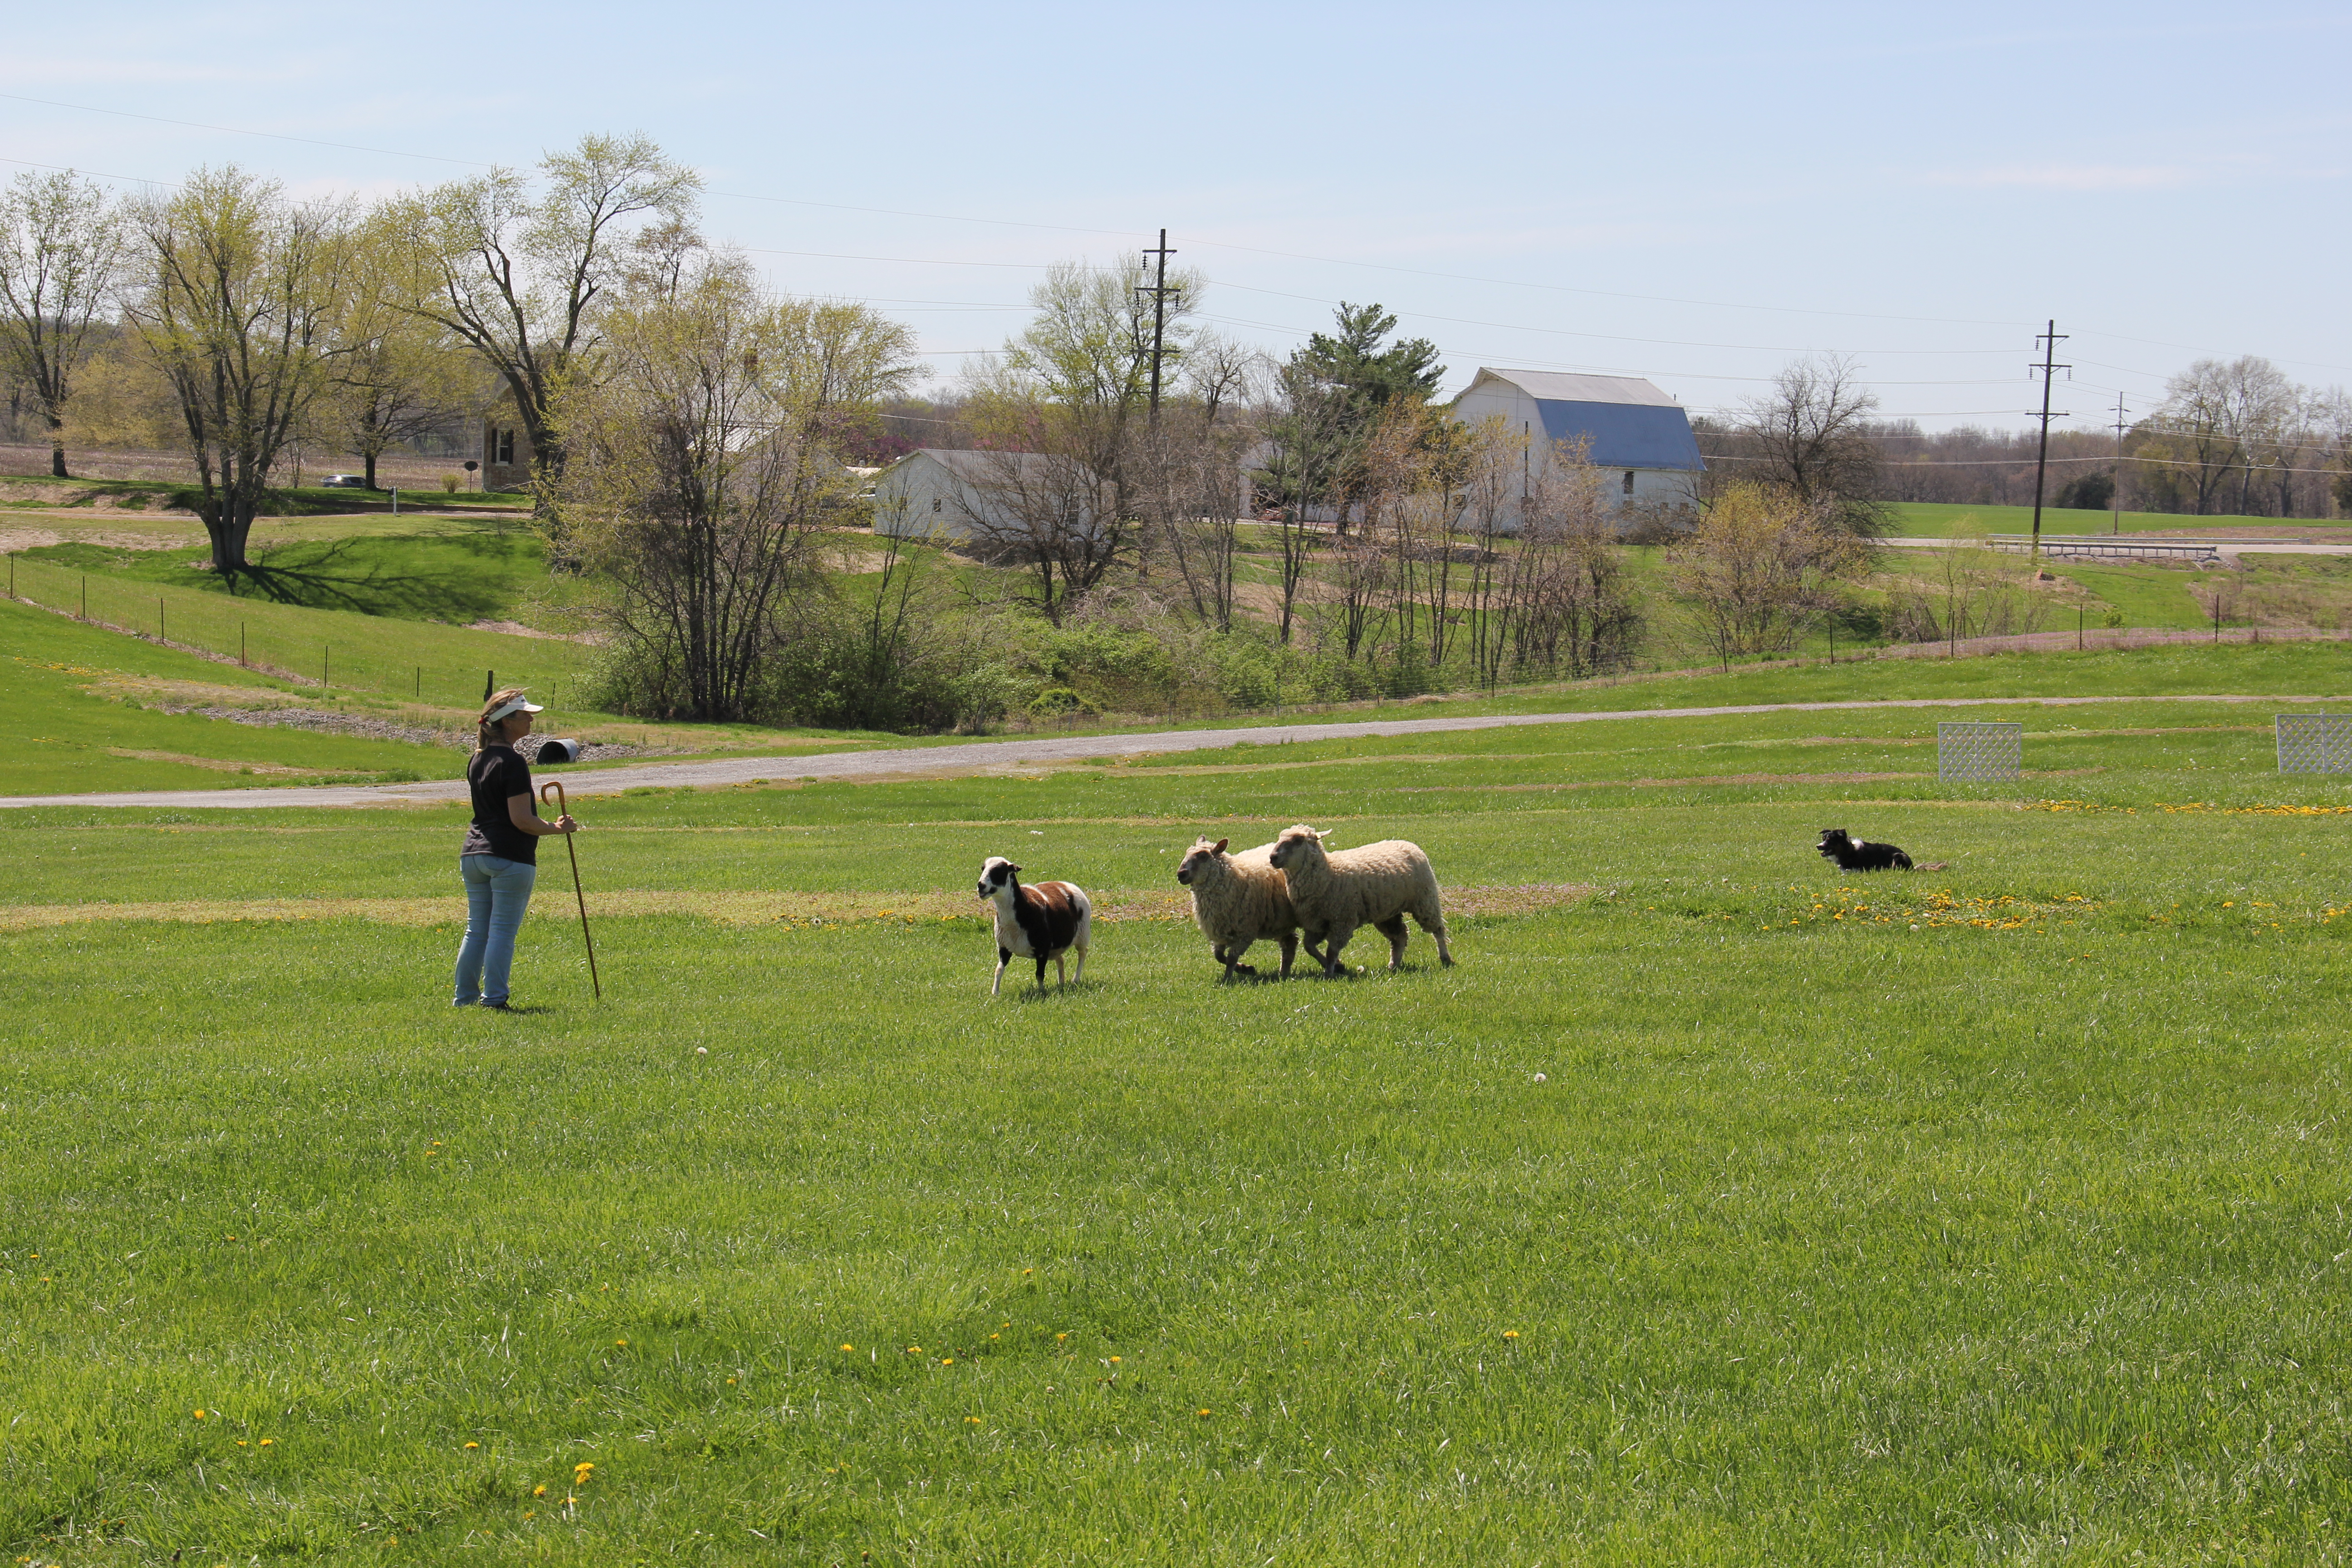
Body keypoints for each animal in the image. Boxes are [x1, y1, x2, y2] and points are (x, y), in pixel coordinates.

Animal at [1176, 832, 1308, 982]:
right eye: (1187, 853)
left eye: (1203, 856)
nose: (1181, 874)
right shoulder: (1220, 932)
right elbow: (1219, 956)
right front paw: (1246, 969)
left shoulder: (1245, 932)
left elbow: (1231, 958)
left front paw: (1228, 979)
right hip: (1280, 922)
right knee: (1290, 943)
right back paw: (1284, 974)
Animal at [1270, 827, 1449, 973]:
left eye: (1299, 840)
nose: (1273, 857)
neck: (1328, 873)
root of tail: (1407, 843)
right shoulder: (1316, 923)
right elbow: (1309, 947)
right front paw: (1335, 966)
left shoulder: (1342, 920)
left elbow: (1332, 951)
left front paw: (1329, 973)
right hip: (1388, 912)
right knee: (1400, 937)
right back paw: (1393, 965)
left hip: (1425, 900)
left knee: (1438, 930)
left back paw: (1446, 959)